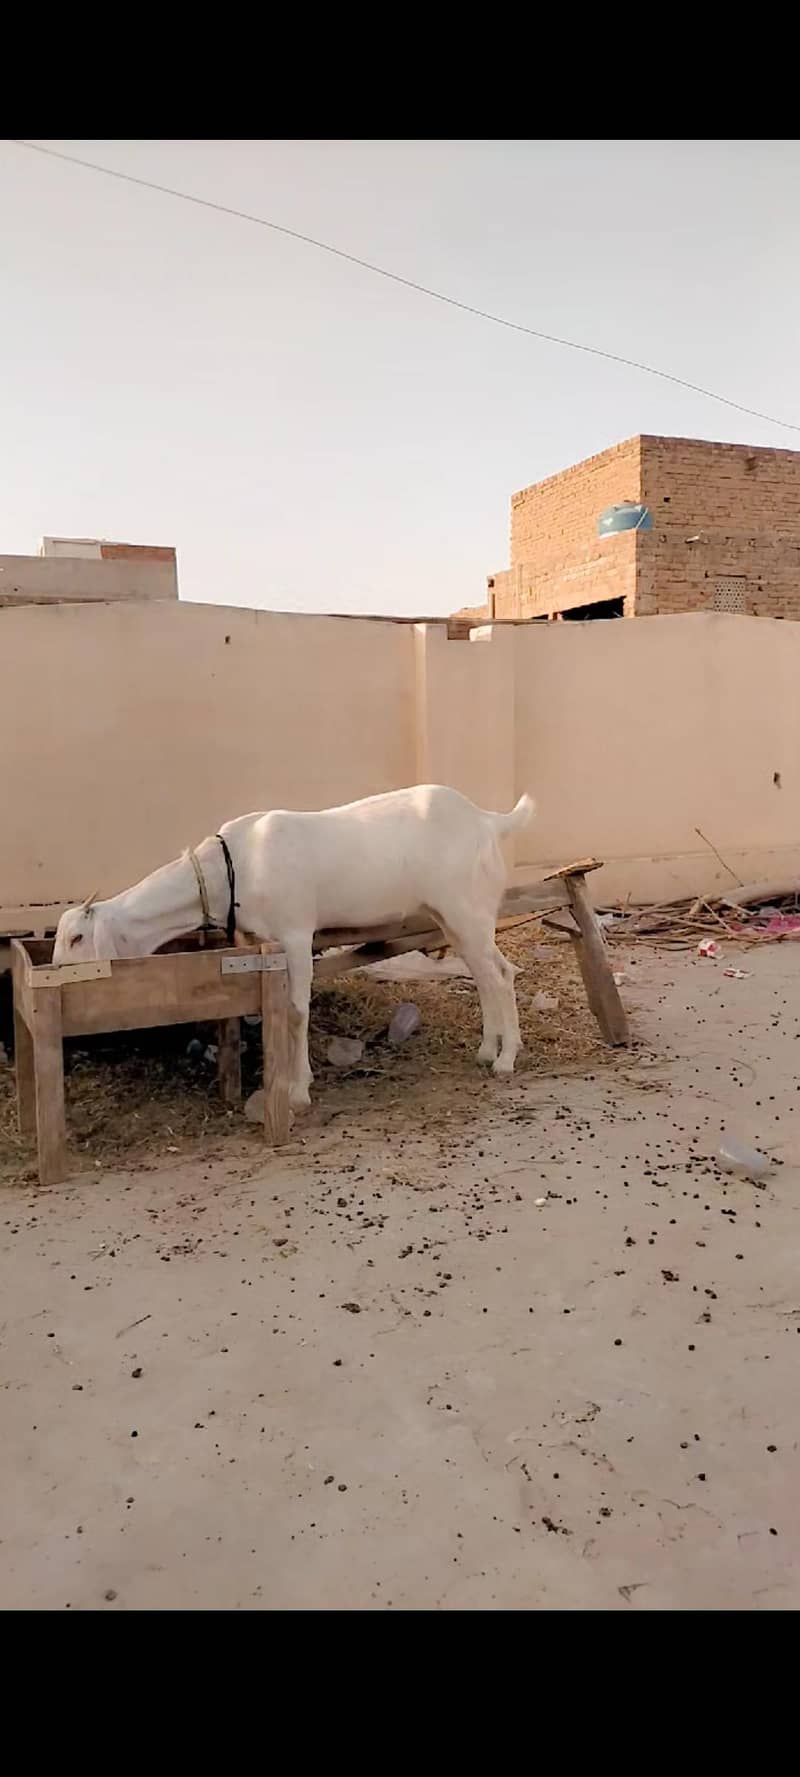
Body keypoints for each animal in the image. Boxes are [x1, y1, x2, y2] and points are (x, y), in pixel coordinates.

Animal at [52, 784, 536, 1109]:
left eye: (77, 937)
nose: (57, 978)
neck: (236, 866)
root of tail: (489, 820)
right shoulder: (267, 944)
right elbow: (275, 1009)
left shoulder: (297, 933)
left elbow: (298, 1010)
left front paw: (299, 1090)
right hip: (453, 916)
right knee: (489, 975)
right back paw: (486, 1051)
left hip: (466, 909)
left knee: (498, 975)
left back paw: (506, 1059)